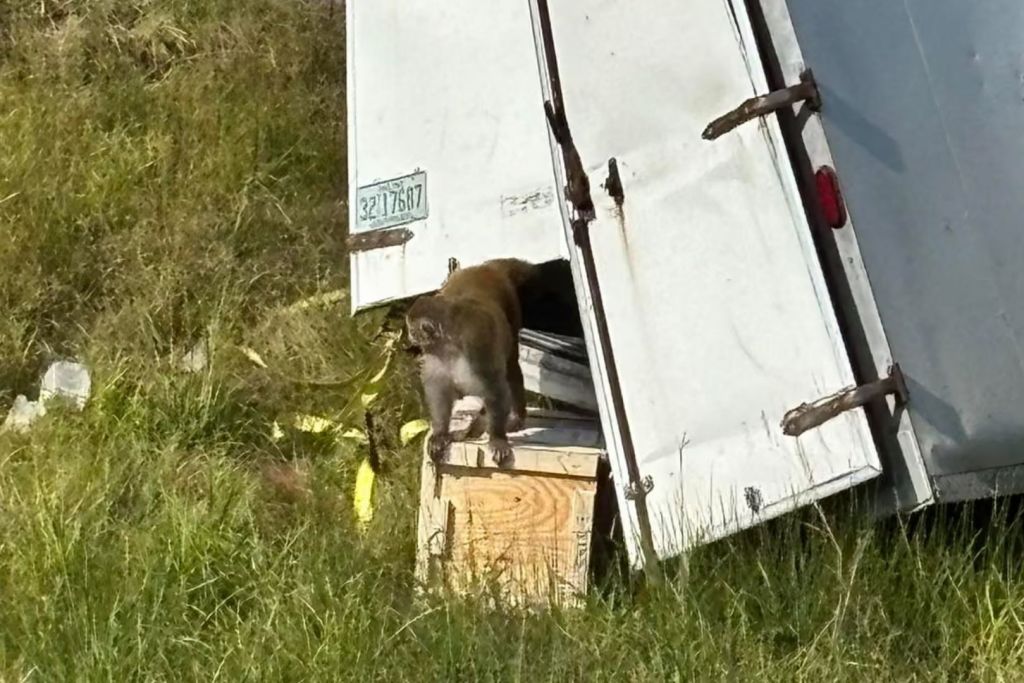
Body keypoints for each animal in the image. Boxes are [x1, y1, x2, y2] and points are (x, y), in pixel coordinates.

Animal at [406, 258, 537, 466]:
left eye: (412, 329)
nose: (410, 337)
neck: (450, 343)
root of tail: (485, 267)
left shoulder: (476, 345)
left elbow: (494, 387)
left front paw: (497, 438)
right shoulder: (435, 355)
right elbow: (439, 389)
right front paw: (440, 433)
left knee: (510, 367)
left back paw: (516, 417)